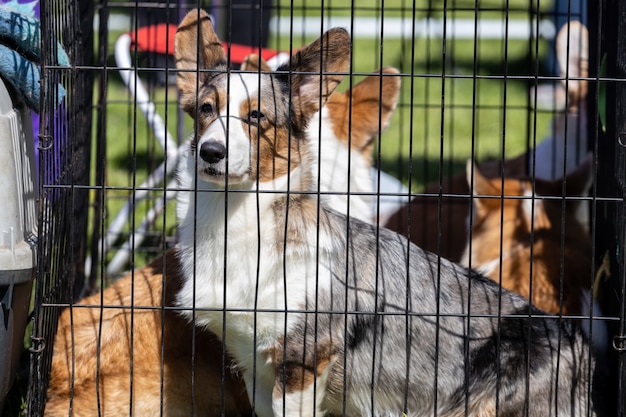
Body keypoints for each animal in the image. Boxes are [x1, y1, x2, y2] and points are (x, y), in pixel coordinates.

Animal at [172, 9, 596, 416]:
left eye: (256, 117)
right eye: (207, 109)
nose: (211, 152)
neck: (235, 216)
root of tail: (582, 352)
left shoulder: (303, 361)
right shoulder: (255, 364)